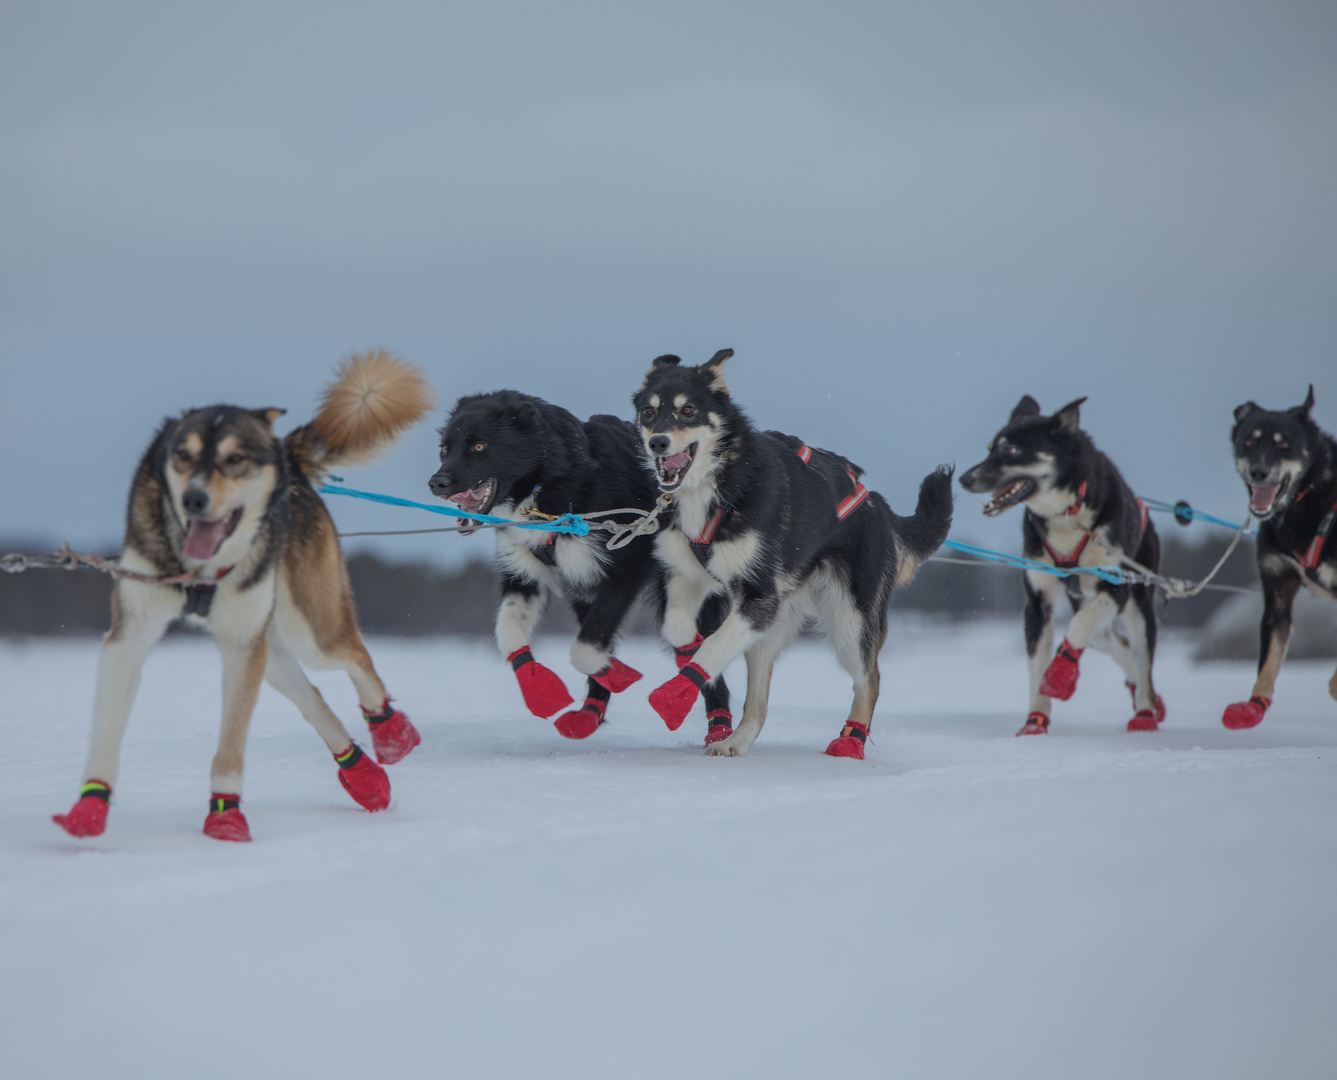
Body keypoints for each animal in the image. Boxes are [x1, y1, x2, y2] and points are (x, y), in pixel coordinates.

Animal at [53, 355, 433, 844]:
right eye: (183, 456)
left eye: (234, 459)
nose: (193, 499)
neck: (199, 571)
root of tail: (286, 455)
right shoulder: (130, 638)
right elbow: (107, 731)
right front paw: (89, 808)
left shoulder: (241, 649)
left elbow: (231, 744)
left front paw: (224, 816)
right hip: (271, 653)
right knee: (312, 696)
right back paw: (363, 776)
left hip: (310, 633)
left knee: (359, 661)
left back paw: (390, 733)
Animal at [427, 390, 738, 743]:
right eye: (444, 449)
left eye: (479, 446)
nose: (436, 482)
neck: (550, 483)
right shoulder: (526, 576)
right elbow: (509, 633)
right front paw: (541, 685)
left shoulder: (627, 568)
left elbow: (586, 648)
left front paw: (615, 673)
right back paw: (590, 712)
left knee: (700, 648)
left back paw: (718, 724)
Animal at [633, 352, 957, 759]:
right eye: (649, 412)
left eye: (687, 410)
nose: (658, 443)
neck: (720, 486)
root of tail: (876, 504)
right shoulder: (687, 575)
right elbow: (678, 628)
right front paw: (687, 652)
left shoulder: (759, 597)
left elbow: (715, 643)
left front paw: (673, 695)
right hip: (770, 631)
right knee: (758, 704)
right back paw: (736, 741)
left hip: (851, 622)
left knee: (869, 679)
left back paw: (850, 741)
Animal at [957, 395, 1165, 732]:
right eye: (989, 448)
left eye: (1010, 450)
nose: (964, 479)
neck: (1065, 516)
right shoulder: (1037, 604)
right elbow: (1036, 666)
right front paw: (1035, 721)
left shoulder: (1115, 588)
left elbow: (1078, 628)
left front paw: (1059, 676)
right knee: (1116, 643)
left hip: (1138, 604)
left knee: (1140, 658)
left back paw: (1146, 712)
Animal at [1224, 384, 1337, 732]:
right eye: (1249, 442)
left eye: (1285, 444)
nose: (1259, 471)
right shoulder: (1277, 591)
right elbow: (1268, 660)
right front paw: (1254, 706)